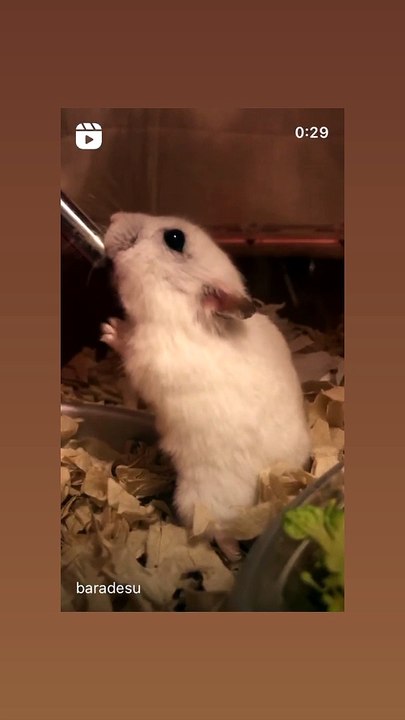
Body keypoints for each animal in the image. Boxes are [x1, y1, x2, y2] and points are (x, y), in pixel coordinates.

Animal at [101, 212, 311, 560]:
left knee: (220, 534)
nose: (113, 216)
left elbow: (127, 344)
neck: (175, 309)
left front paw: (109, 329)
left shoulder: (146, 358)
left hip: (198, 501)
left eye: (174, 238)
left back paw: (234, 557)